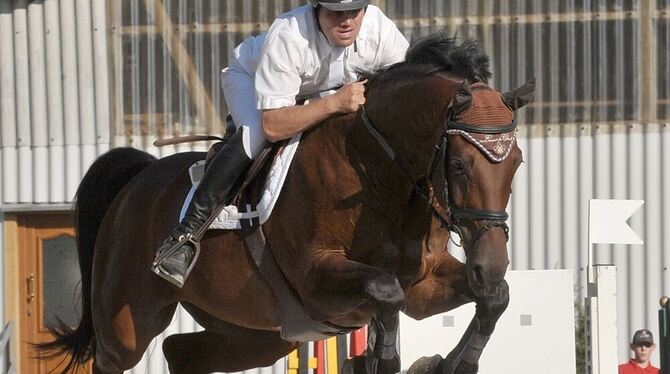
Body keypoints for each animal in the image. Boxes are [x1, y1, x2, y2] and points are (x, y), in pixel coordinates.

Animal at [39, 32, 536, 374]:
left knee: (181, 352)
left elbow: (495, 299)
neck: (381, 172)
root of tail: (138, 179)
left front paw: (452, 362)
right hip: (129, 322)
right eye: (460, 167)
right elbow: (384, 290)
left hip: (258, 332)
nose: (490, 265)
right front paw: (387, 359)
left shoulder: (424, 285)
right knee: (116, 356)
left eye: (516, 163)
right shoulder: (316, 278)